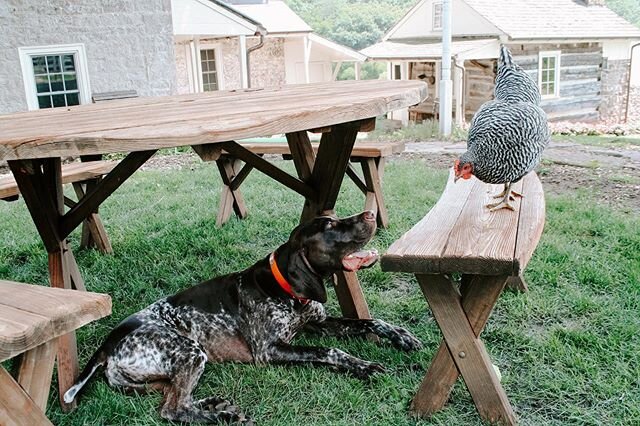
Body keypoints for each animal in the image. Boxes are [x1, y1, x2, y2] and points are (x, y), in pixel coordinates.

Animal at [63, 211, 420, 424]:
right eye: (329, 226)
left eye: (333, 217)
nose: (370, 213)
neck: (287, 290)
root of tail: (108, 345)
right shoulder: (269, 350)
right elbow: (330, 352)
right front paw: (365, 366)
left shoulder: (318, 322)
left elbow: (369, 322)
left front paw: (401, 335)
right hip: (190, 351)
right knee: (171, 410)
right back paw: (222, 417)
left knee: (176, 397)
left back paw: (215, 406)